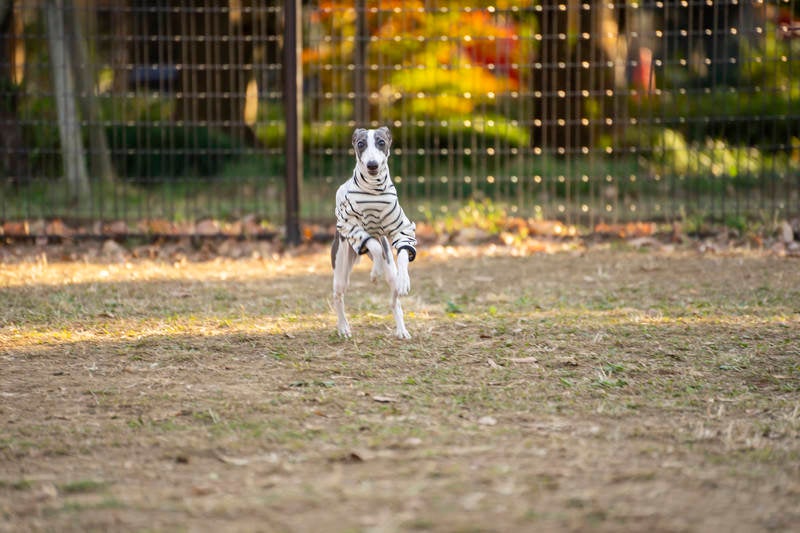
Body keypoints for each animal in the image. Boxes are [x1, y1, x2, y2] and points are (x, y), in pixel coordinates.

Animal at [332, 127, 418, 338]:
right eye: (361, 143)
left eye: (381, 142)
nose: (372, 165)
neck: (374, 190)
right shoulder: (349, 225)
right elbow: (372, 244)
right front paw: (375, 271)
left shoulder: (401, 228)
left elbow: (403, 252)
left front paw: (404, 280)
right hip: (341, 268)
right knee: (338, 296)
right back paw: (343, 327)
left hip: (390, 275)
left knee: (395, 302)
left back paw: (401, 330)